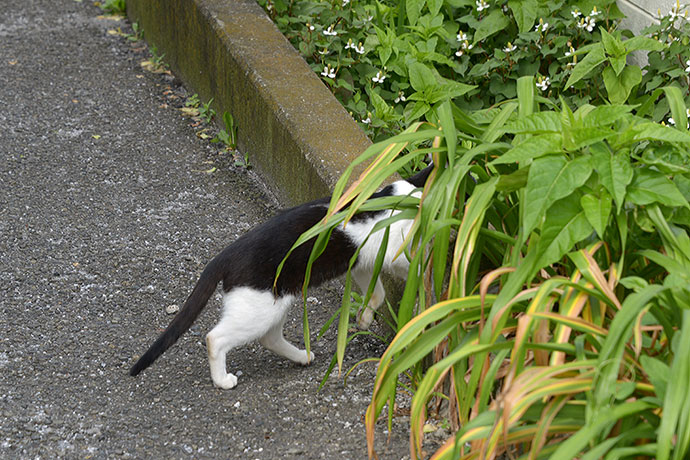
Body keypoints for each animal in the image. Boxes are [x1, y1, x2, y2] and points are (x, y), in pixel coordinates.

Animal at [129, 165, 430, 388]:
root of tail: (225, 255)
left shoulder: (362, 262)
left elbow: (377, 292)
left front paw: (365, 318)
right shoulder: (394, 252)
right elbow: (411, 268)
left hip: (277, 301)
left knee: (269, 338)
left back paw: (302, 357)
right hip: (258, 308)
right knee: (215, 338)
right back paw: (223, 380)